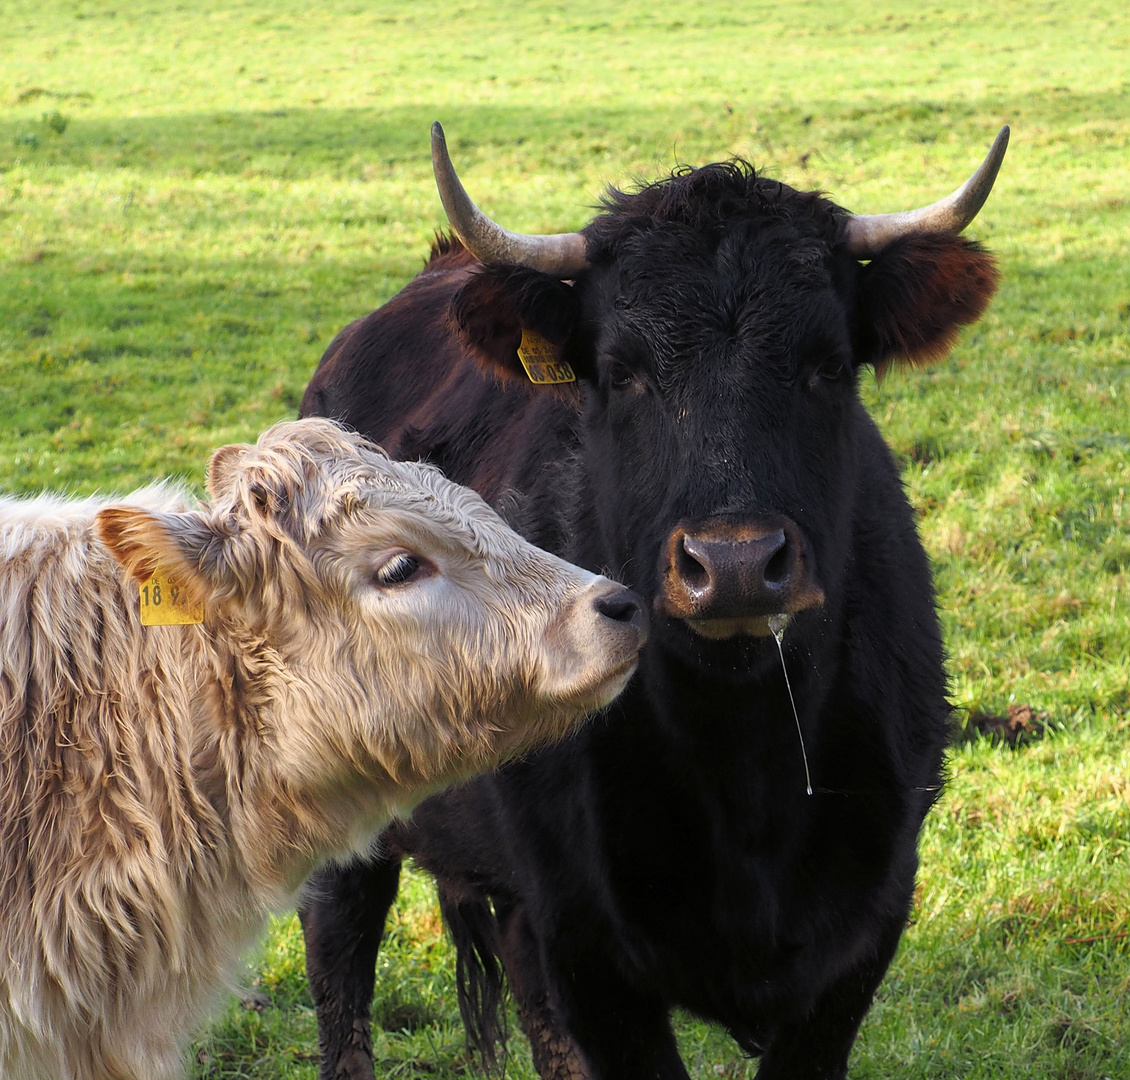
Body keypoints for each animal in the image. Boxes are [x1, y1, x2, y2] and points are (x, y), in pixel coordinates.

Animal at [298, 122, 1007, 1075]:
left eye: (827, 367)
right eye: (622, 372)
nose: (735, 562)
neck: (744, 767)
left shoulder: (864, 935)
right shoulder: (582, 945)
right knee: (341, 970)